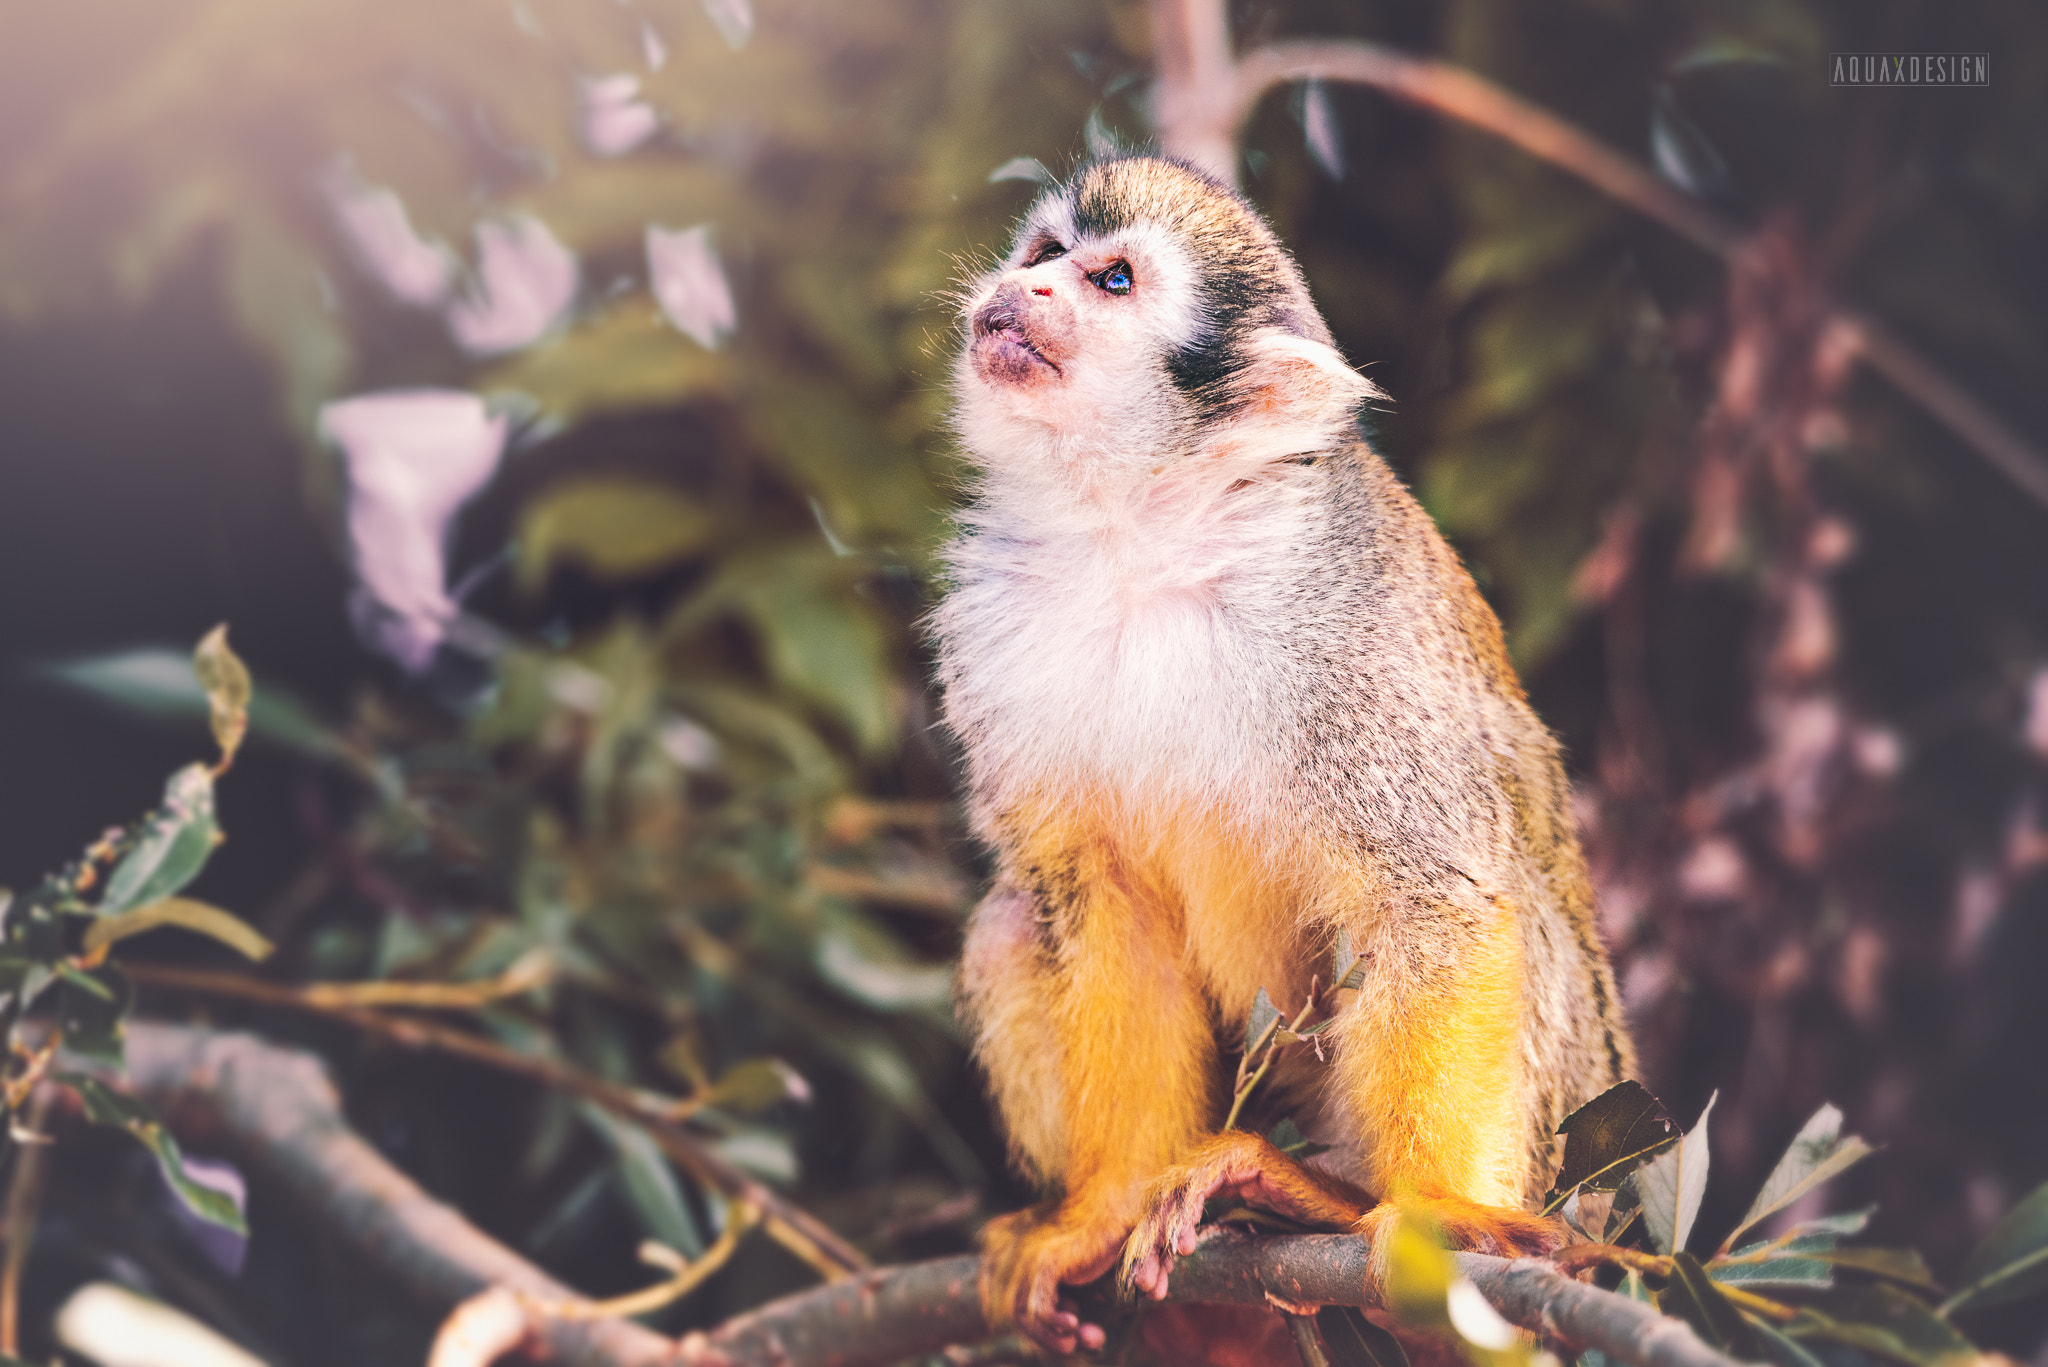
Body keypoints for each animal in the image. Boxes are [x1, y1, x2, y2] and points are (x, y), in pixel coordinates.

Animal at [931, 155, 1633, 1359]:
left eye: (1112, 280)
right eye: (1045, 253)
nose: (1026, 292)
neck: (1142, 535)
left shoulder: (1348, 623)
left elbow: (1431, 893)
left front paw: (1429, 1210)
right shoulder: (994, 633)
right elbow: (1104, 906)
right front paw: (1101, 1209)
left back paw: (1328, 1203)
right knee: (1018, 913)